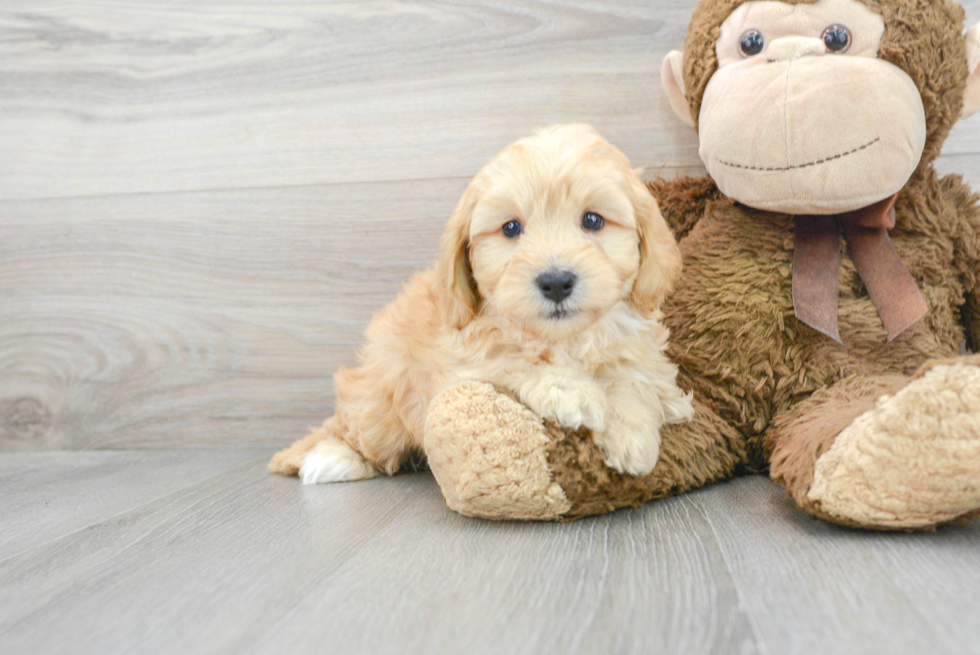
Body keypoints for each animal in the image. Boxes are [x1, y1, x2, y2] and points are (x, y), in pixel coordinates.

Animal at [268, 124, 692, 482]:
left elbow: (636, 378)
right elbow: (509, 357)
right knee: (355, 431)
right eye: (511, 228)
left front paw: (632, 433)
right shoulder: (462, 363)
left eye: (592, 220)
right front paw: (573, 392)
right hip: (381, 400)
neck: (562, 339)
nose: (555, 282)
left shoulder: (640, 348)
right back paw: (332, 458)